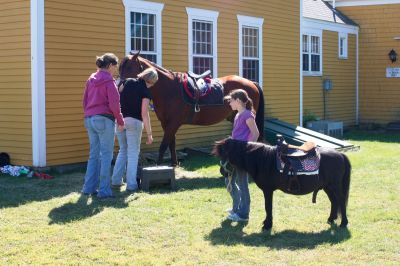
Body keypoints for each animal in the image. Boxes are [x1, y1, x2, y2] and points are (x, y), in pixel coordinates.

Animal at [119, 52, 264, 165]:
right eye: (120, 67)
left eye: (130, 67)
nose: (121, 85)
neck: (169, 89)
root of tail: (252, 83)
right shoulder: (166, 123)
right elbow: (171, 143)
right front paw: (173, 165)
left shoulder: (173, 123)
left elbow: (163, 145)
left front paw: (158, 166)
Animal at [212, 137, 350, 231]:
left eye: (225, 153)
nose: (222, 172)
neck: (263, 160)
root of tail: (340, 154)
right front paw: (266, 223)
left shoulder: (268, 190)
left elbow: (268, 207)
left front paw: (267, 225)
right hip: (328, 187)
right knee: (334, 201)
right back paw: (331, 219)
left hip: (334, 186)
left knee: (341, 200)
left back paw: (343, 223)